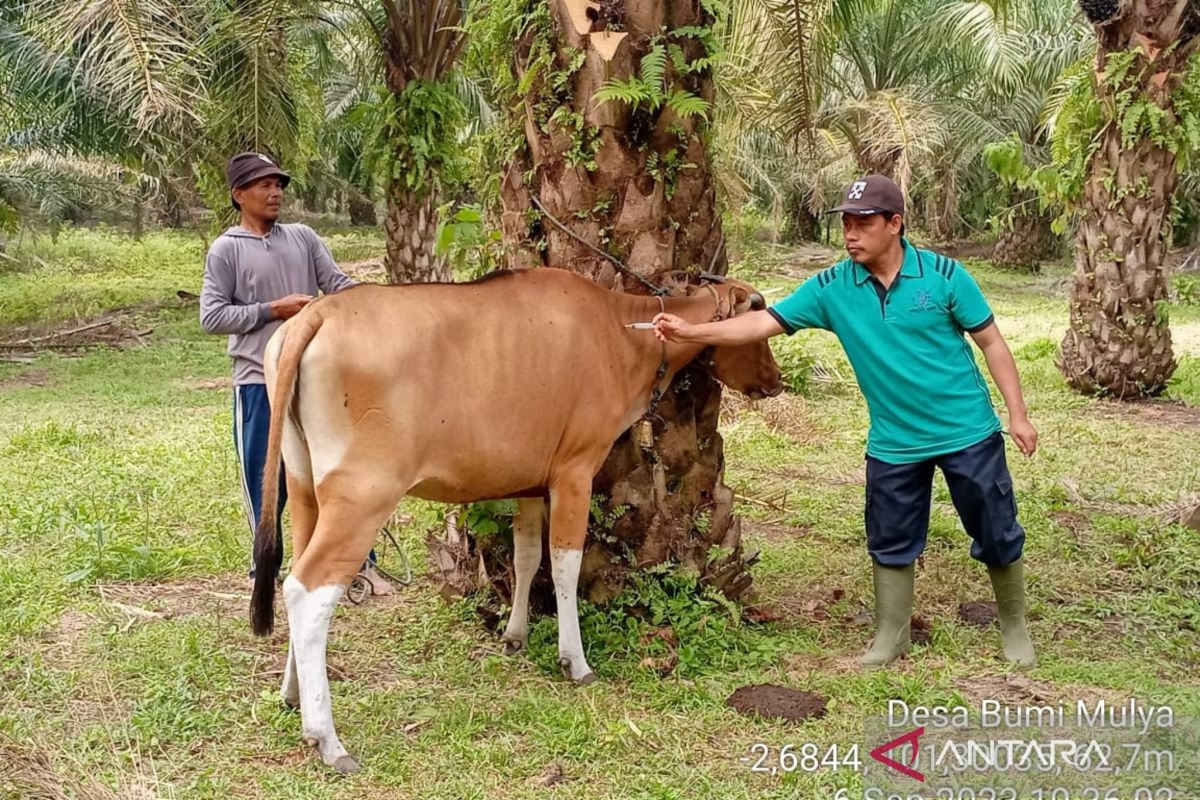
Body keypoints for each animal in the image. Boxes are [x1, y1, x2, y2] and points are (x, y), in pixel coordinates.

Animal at [248, 267, 782, 767]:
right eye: (758, 316)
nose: (775, 381)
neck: (618, 329)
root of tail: (317, 314)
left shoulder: (530, 487)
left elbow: (527, 558)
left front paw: (515, 635)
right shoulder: (574, 472)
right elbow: (565, 564)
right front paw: (575, 661)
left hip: (304, 488)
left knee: (291, 576)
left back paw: (292, 694)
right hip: (363, 495)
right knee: (311, 590)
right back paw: (327, 737)